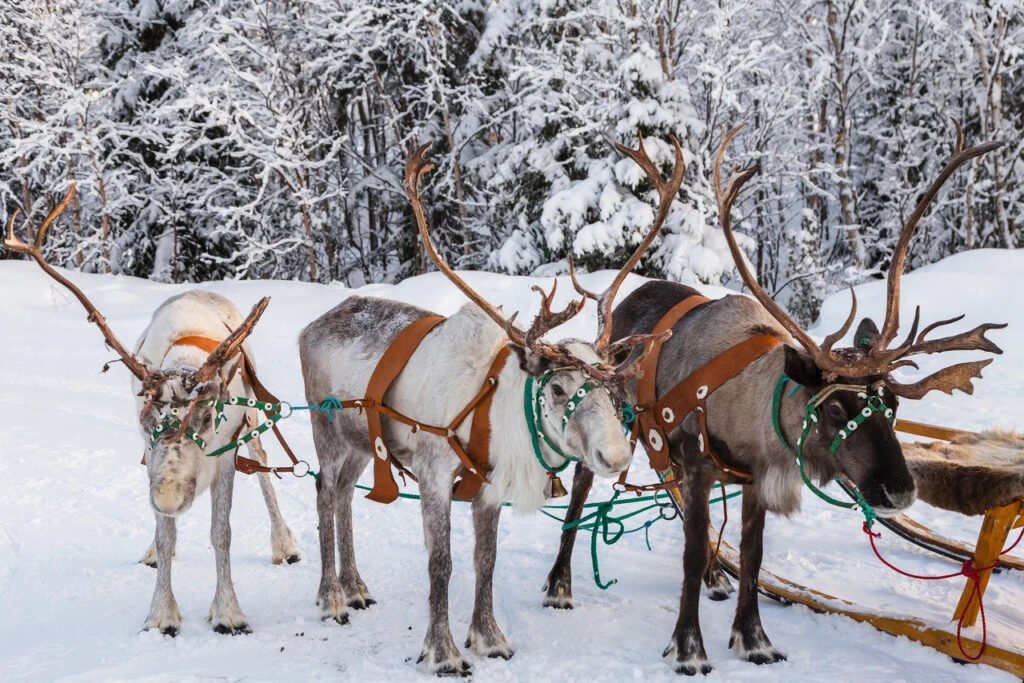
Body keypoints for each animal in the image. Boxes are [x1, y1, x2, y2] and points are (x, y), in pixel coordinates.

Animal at [4, 186, 301, 636]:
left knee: (264, 462)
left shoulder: (226, 451)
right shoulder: (147, 453)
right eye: (146, 423)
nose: (168, 497)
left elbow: (222, 532)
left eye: (206, 419)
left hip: (252, 415)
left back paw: (284, 543)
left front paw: (228, 613)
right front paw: (161, 613)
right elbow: (166, 535)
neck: (182, 364)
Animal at [297, 136, 685, 676]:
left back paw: (354, 588)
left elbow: (487, 560)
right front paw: (442, 652)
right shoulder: (435, 475)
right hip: (326, 430)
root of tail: (311, 326)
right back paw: (331, 597)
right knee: (323, 492)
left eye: (612, 390)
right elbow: (441, 564)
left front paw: (488, 637)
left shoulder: (488, 487)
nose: (615, 456)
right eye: (557, 388)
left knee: (346, 495)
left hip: (360, 443)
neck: (497, 410)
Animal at [541, 123, 1005, 675]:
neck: (749, 410)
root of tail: (619, 311)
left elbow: (752, 555)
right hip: (612, 425)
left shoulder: (753, 476)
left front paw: (753, 639)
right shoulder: (699, 463)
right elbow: (692, 551)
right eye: (834, 408)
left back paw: (715, 579)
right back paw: (560, 585)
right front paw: (689, 648)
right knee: (580, 495)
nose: (899, 491)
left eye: (892, 407)